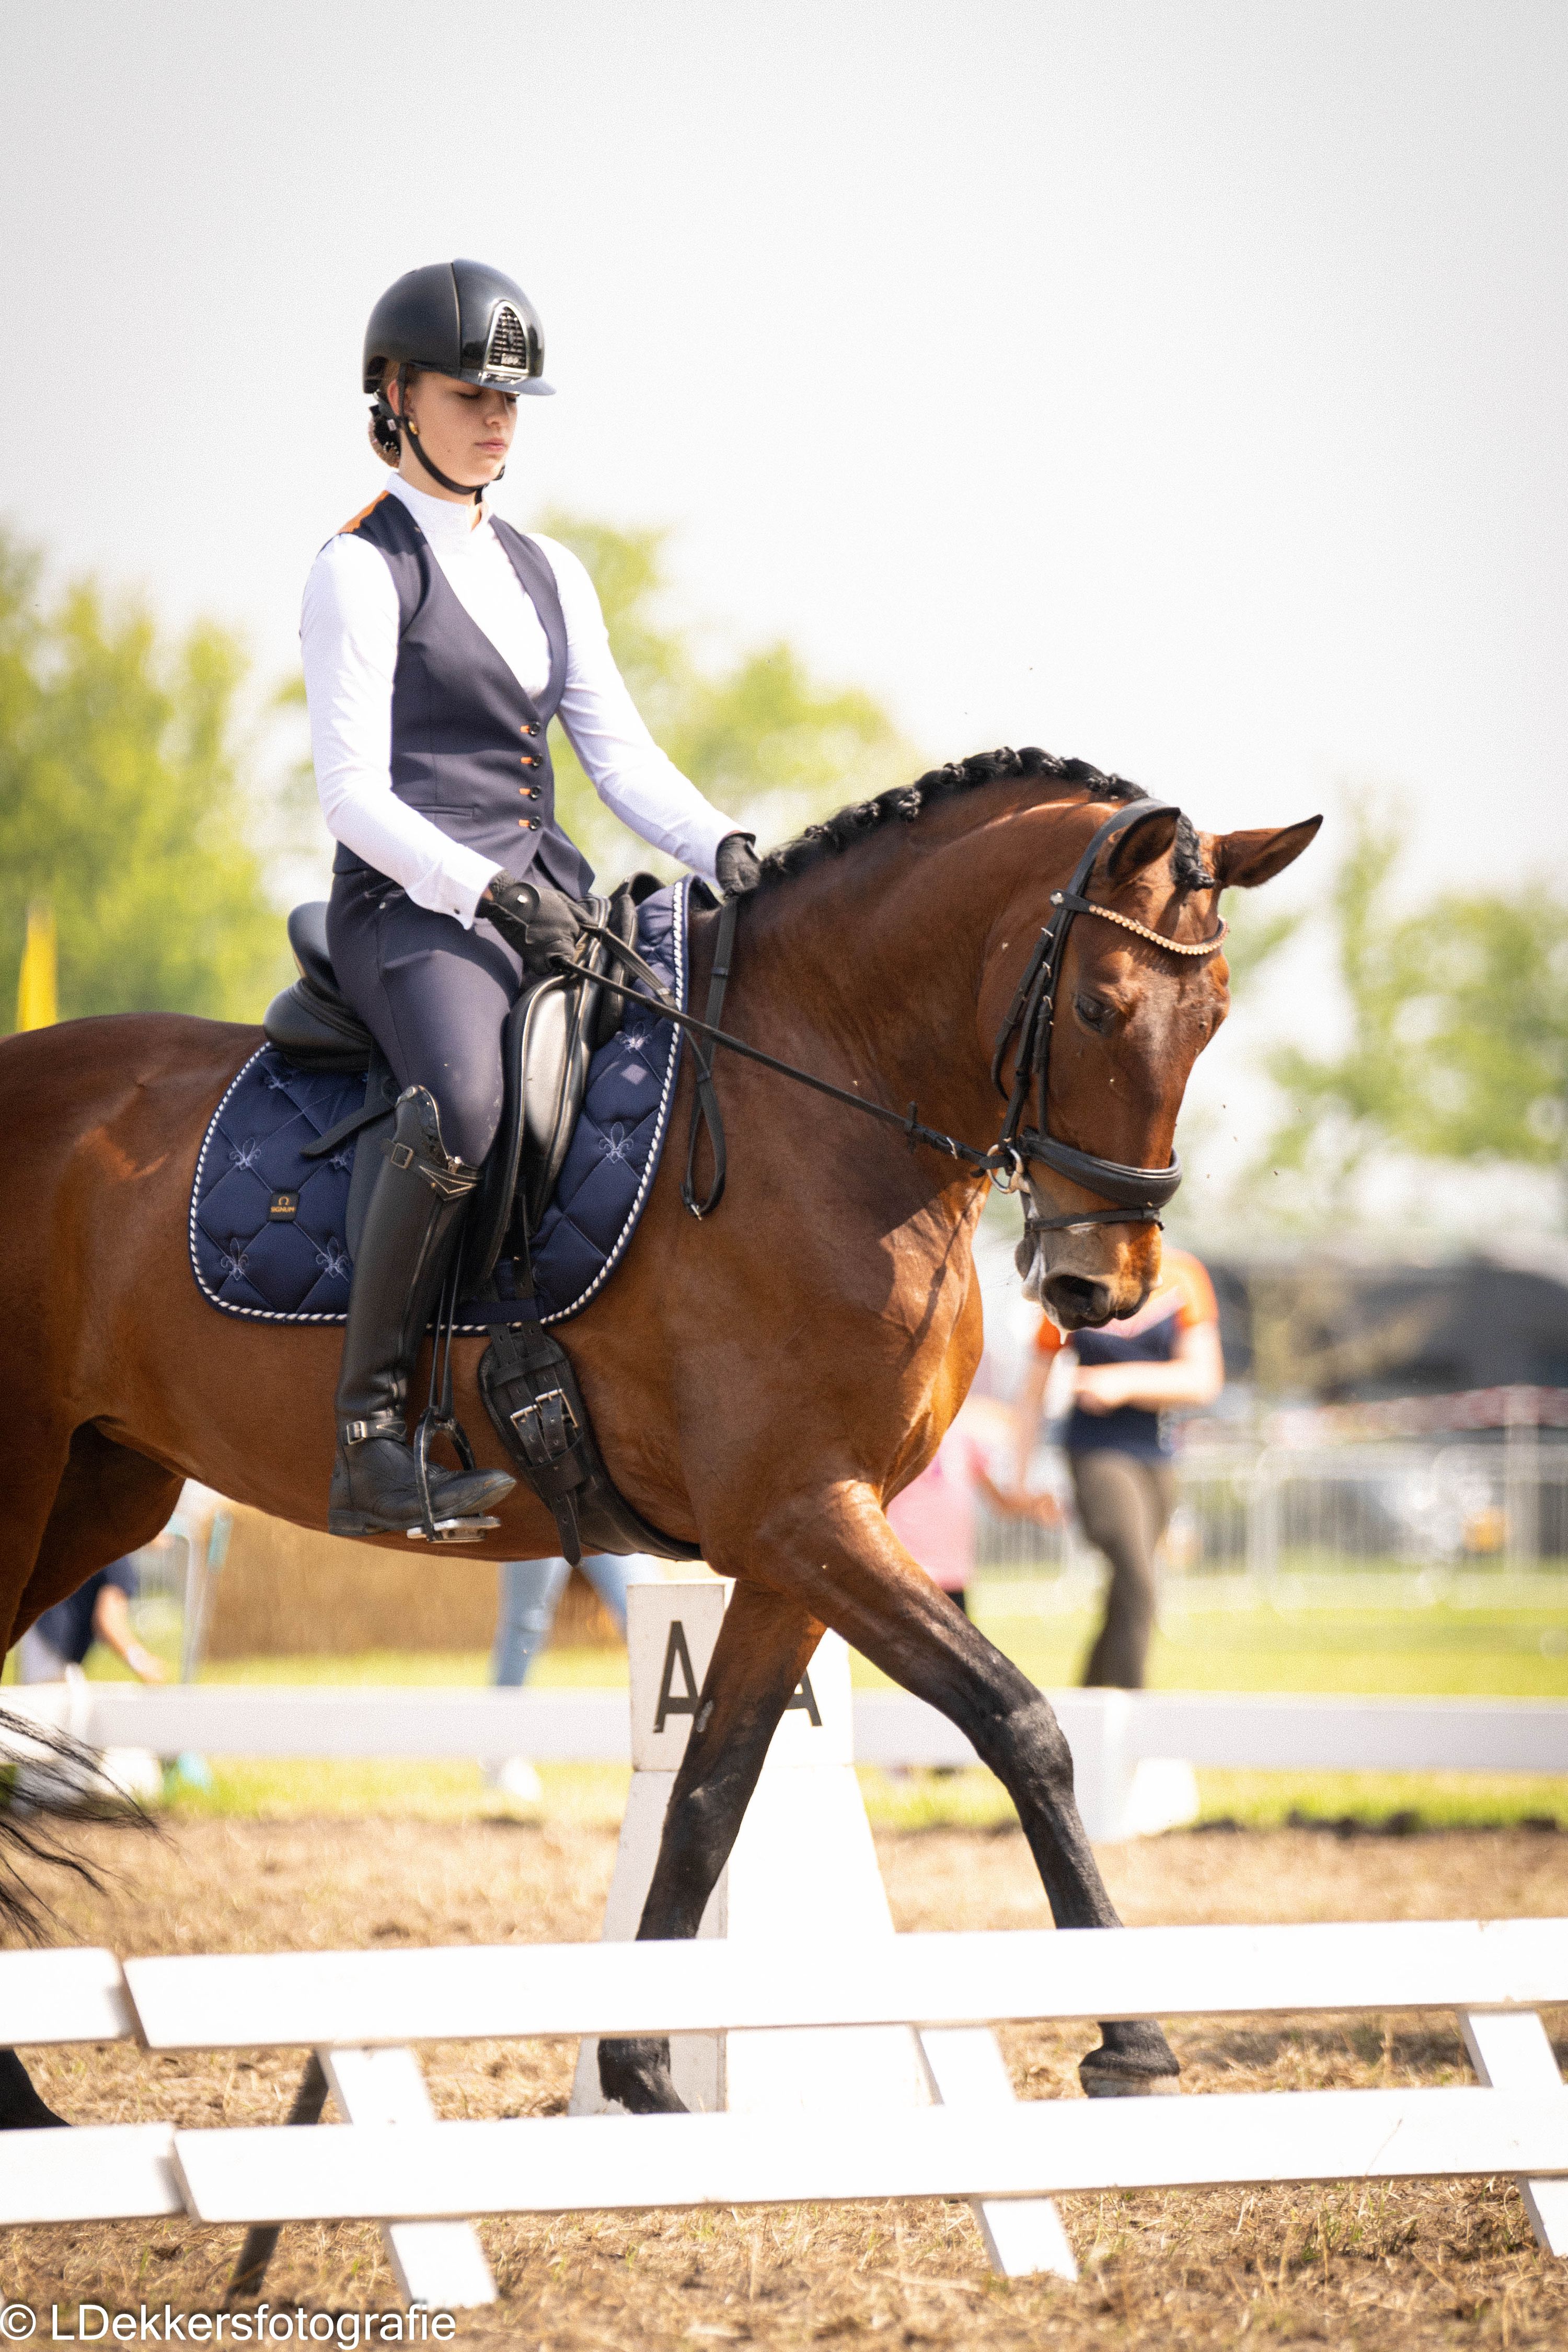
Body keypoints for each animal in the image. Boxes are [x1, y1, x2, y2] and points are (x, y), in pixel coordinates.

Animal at [0, 746, 1317, 2125]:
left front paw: (640, 2069)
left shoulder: (802, 1537)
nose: (1104, 1285)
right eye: (1103, 1008)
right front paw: (1133, 2041)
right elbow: (1020, 1721)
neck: (822, 1102)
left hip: (101, 1487)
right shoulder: (801, 1516)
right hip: (23, 1472)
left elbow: (709, 1792)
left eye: (1214, 1016)